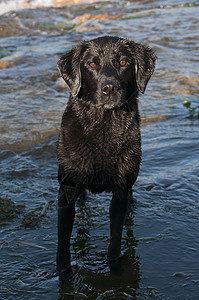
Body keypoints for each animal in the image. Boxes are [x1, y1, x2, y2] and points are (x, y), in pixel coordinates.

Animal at [56, 35, 157, 282]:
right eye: (92, 64)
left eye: (123, 62)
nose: (109, 87)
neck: (103, 126)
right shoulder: (66, 190)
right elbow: (63, 244)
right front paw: (63, 274)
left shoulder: (120, 190)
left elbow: (115, 240)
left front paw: (115, 270)